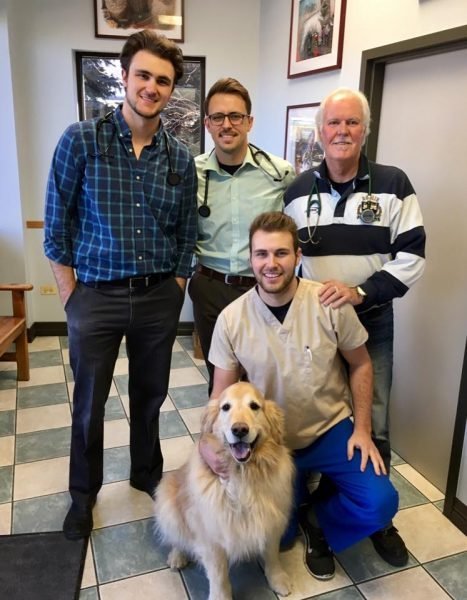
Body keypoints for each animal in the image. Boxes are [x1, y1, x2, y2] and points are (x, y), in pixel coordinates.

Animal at [154, 382, 294, 600]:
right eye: (226, 407)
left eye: (255, 406)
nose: (239, 429)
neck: (242, 473)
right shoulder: (212, 535)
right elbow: (219, 576)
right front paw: (220, 596)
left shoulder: (271, 521)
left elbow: (272, 555)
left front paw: (278, 578)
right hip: (167, 502)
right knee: (177, 537)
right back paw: (177, 556)